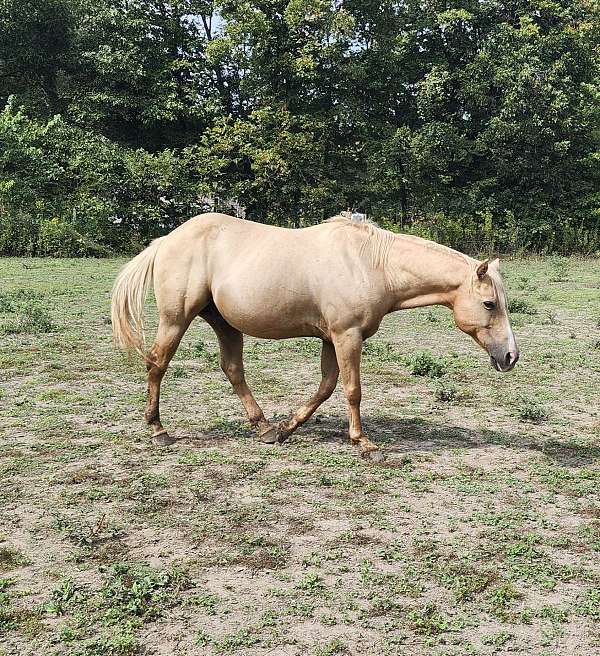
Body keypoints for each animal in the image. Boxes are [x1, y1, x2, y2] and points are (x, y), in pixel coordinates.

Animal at [111, 215, 516, 462]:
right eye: (490, 303)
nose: (510, 356)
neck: (371, 263)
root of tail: (167, 240)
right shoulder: (346, 335)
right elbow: (352, 390)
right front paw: (364, 444)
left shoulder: (329, 339)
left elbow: (325, 387)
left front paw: (287, 428)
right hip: (176, 319)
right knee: (158, 363)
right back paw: (159, 430)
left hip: (224, 323)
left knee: (232, 370)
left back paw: (264, 428)